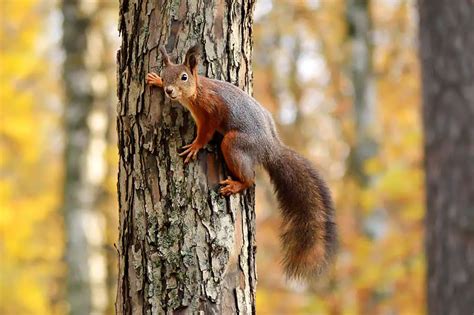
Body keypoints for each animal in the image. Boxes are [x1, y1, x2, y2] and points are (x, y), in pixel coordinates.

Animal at [146, 45, 336, 278]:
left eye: (184, 77)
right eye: (165, 76)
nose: (169, 91)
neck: (197, 91)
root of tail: (269, 148)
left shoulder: (211, 112)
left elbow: (205, 133)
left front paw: (195, 146)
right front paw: (154, 80)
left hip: (234, 144)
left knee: (251, 179)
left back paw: (236, 184)